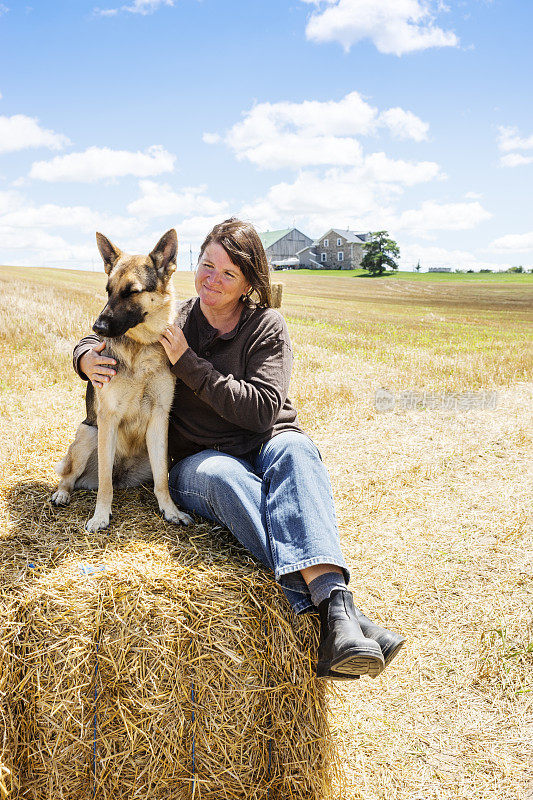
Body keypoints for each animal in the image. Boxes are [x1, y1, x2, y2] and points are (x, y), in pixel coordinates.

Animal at [51, 230, 192, 532]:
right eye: (108, 290)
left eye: (132, 292)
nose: (97, 328)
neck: (141, 347)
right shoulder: (108, 418)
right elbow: (105, 484)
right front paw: (100, 516)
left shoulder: (159, 419)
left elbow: (163, 481)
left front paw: (171, 511)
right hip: (88, 434)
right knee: (71, 477)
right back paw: (62, 494)